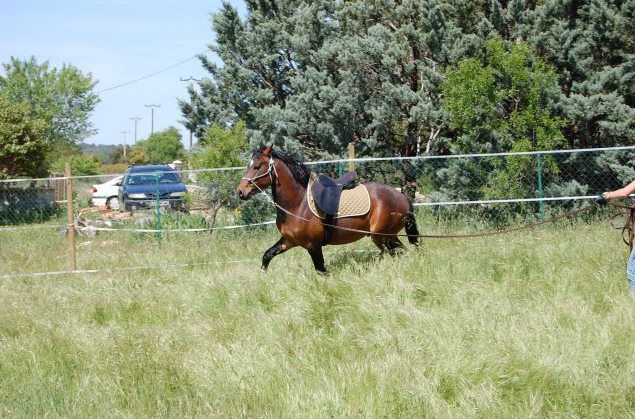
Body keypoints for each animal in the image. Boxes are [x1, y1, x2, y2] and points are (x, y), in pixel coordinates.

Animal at [236, 146, 420, 272]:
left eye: (257, 166)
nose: (240, 191)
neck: (298, 204)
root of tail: (403, 198)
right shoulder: (289, 241)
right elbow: (267, 256)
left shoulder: (313, 245)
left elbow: (321, 270)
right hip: (387, 236)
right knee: (400, 251)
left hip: (382, 236)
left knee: (399, 251)